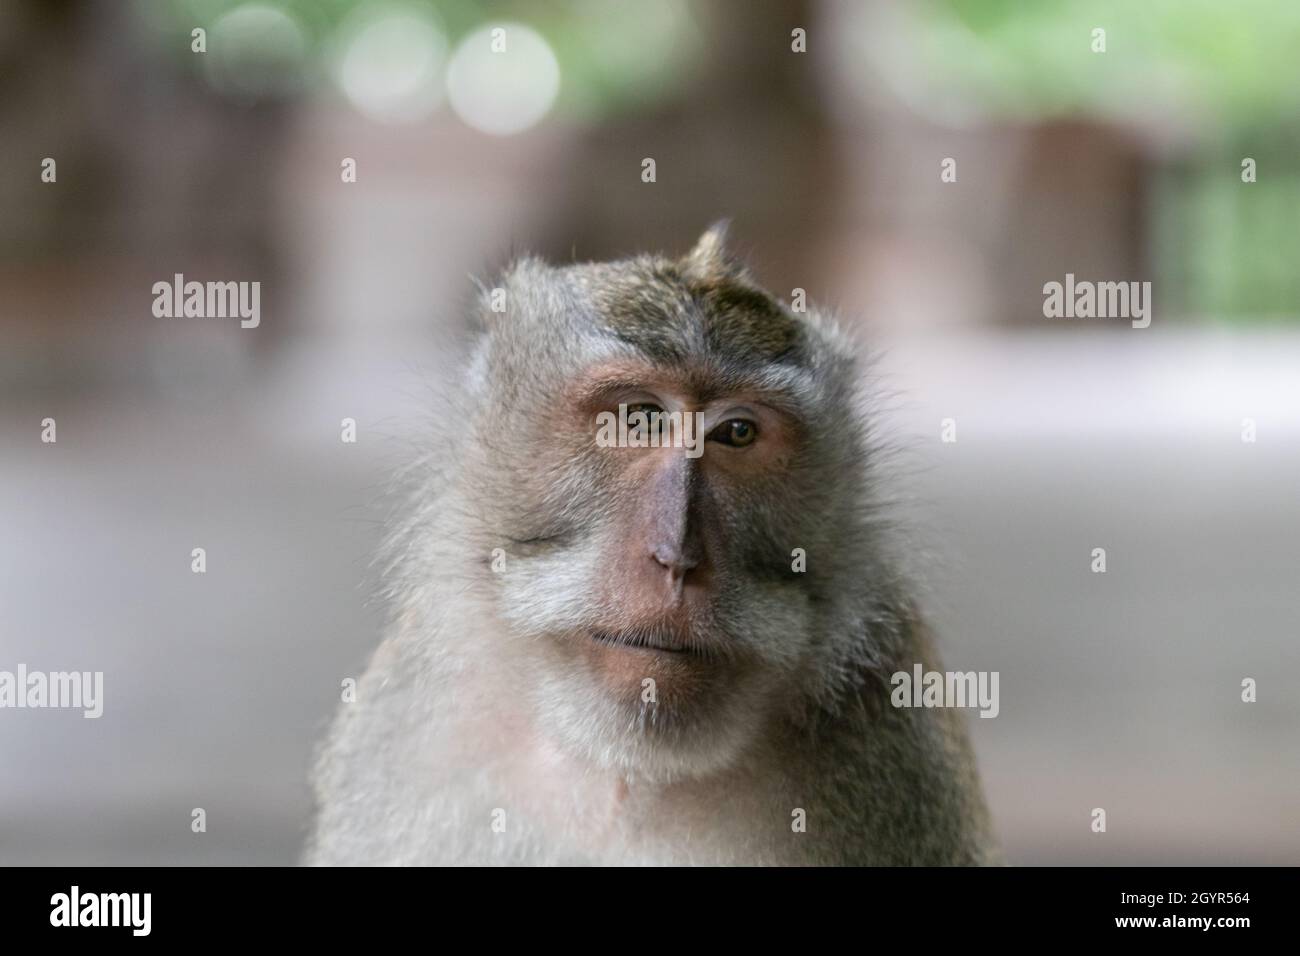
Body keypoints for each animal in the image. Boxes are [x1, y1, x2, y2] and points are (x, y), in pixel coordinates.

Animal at [309, 223, 998, 868]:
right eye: (637, 418)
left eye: (737, 432)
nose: (677, 558)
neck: (624, 771)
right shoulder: (398, 730)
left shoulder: (898, 749)